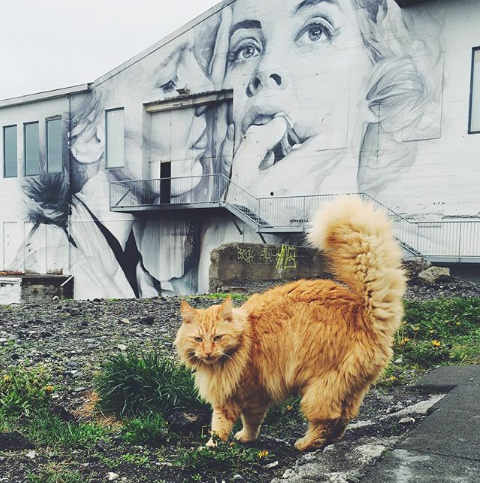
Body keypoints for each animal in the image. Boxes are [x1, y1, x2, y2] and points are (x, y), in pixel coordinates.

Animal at [173, 198, 404, 454]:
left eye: (217, 338)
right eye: (198, 339)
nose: (208, 353)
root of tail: (363, 311)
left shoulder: (252, 394)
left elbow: (242, 422)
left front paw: (224, 443)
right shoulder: (229, 396)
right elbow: (220, 422)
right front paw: (218, 442)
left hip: (320, 388)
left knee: (327, 419)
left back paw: (306, 443)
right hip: (350, 389)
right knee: (344, 417)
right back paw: (331, 440)